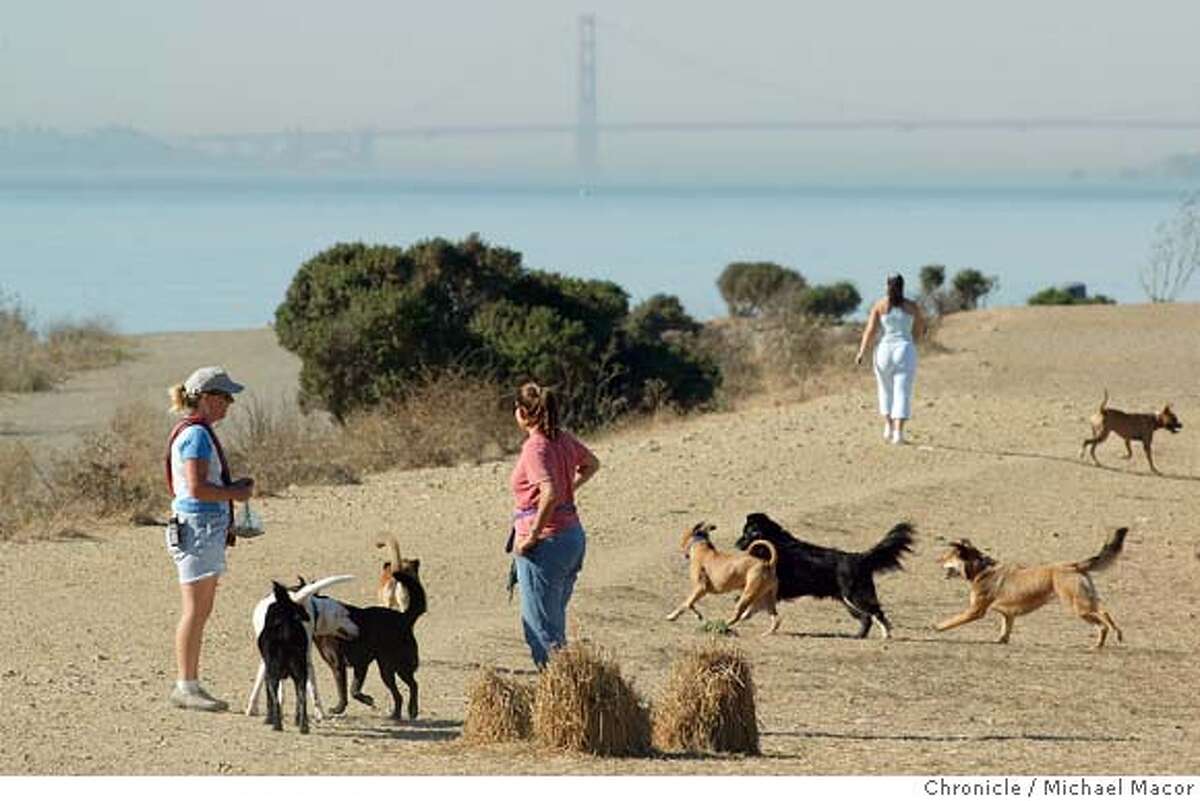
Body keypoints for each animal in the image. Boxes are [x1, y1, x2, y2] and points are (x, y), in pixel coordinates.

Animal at [314, 565, 427, 724]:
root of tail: (403, 617)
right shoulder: (357, 665)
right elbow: (353, 690)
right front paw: (366, 700)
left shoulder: (344, 666)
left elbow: (346, 691)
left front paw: (339, 708)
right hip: (386, 670)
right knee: (399, 694)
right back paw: (396, 715)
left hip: (399, 666)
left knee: (413, 685)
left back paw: (412, 709)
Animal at [724, 513, 912, 637]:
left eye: (747, 533)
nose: (736, 544)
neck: (776, 542)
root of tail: (860, 558)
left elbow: (749, 601)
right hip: (848, 602)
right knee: (867, 618)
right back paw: (859, 636)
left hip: (855, 597)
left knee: (876, 612)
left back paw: (886, 634)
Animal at [936, 525, 1123, 652]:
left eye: (947, 557)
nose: (936, 560)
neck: (981, 568)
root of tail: (1073, 565)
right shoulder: (1008, 614)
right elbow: (1005, 628)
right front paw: (1001, 640)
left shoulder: (974, 611)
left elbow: (952, 621)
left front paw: (936, 627)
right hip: (1085, 600)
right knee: (1103, 616)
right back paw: (1108, 639)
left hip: (1077, 606)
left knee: (1103, 620)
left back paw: (1107, 640)